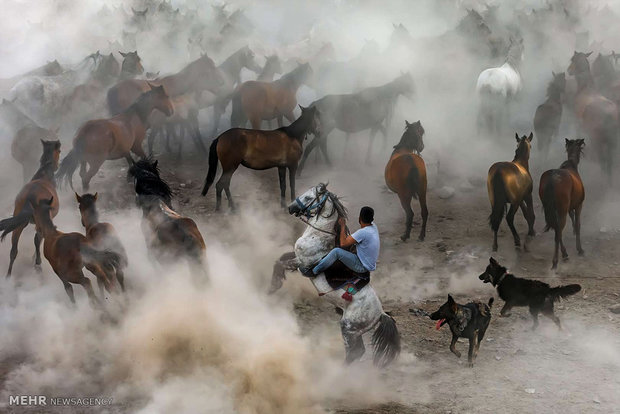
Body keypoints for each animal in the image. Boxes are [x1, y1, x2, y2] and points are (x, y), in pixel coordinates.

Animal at [0, 140, 60, 278]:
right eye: (59, 151)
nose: (57, 167)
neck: (44, 173)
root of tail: (29, 196)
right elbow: (39, 239)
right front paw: (36, 260)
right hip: (36, 222)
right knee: (37, 240)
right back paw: (37, 264)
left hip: (19, 223)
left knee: (14, 250)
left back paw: (8, 277)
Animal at [268, 183, 400, 368]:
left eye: (309, 197)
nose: (290, 207)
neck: (318, 235)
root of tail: (381, 314)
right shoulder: (297, 257)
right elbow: (279, 259)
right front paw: (275, 284)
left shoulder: (302, 263)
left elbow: (281, 263)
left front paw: (274, 286)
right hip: (355, 331)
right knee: (358, 351)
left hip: (348, 327)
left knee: (354, 352)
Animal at [536, 139, 588, 268]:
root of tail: (552, 179)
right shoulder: (579, 205)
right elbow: (578, 224)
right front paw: (580, 249)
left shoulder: (569, 207)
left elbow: (572, 219)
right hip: (561, 209)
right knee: (558, 231)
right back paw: (556, 260)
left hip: (553, 209)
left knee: (557, 229)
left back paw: (563, 254)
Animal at [568, 51, 616, 180]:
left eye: (572, 59)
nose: (569, 70)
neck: (586, 89)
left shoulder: (577, 122)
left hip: (599, 140)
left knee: (604, 161)